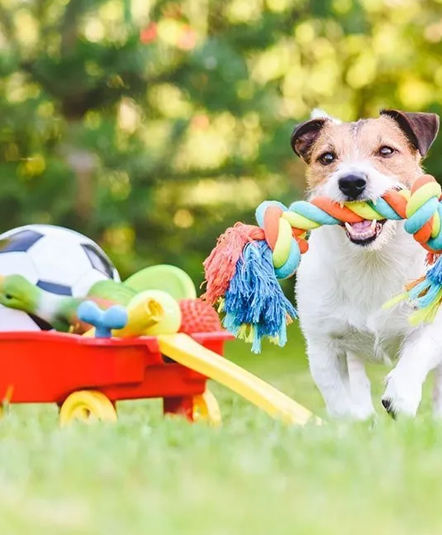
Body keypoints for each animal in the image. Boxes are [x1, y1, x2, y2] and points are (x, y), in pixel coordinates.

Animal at [290, 109, 442, 418]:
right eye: (327, 157)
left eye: (386, 151)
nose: (351, 181)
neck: (371, 260)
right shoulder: (324, 345)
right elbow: (339, 399)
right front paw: (351, 424)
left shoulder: (433, 325)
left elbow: (417, 351)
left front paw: (401, 395)